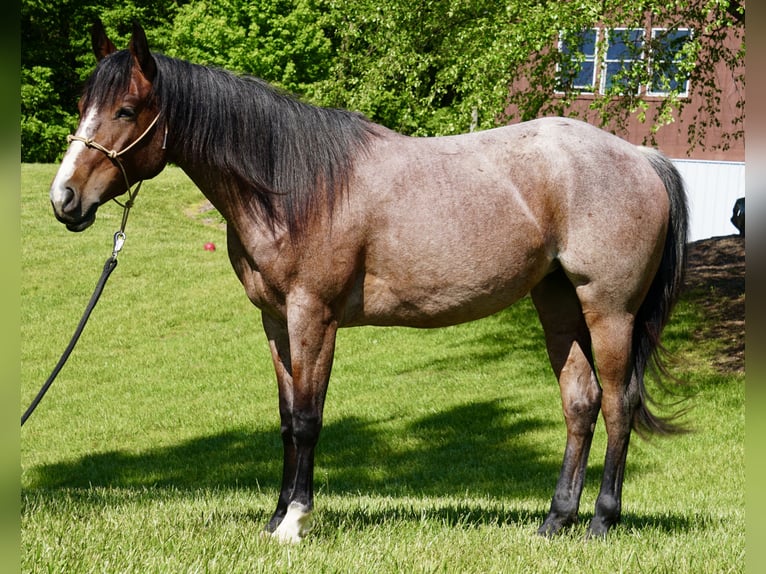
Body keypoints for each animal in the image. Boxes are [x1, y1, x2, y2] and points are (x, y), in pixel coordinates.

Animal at [49, 20, 688, 543]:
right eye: (83, 103)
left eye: (127, 109)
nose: (64, 199)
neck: (292, 187)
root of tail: (640, 156)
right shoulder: (276, 321)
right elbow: (286, 420)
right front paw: (274, 517)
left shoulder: (314, 316)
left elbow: (309, 420)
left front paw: (296, 522)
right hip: (557, 302)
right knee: (580, 403)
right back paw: (556, 520)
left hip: (609, 310)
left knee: (619, 404)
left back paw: (602, 520)